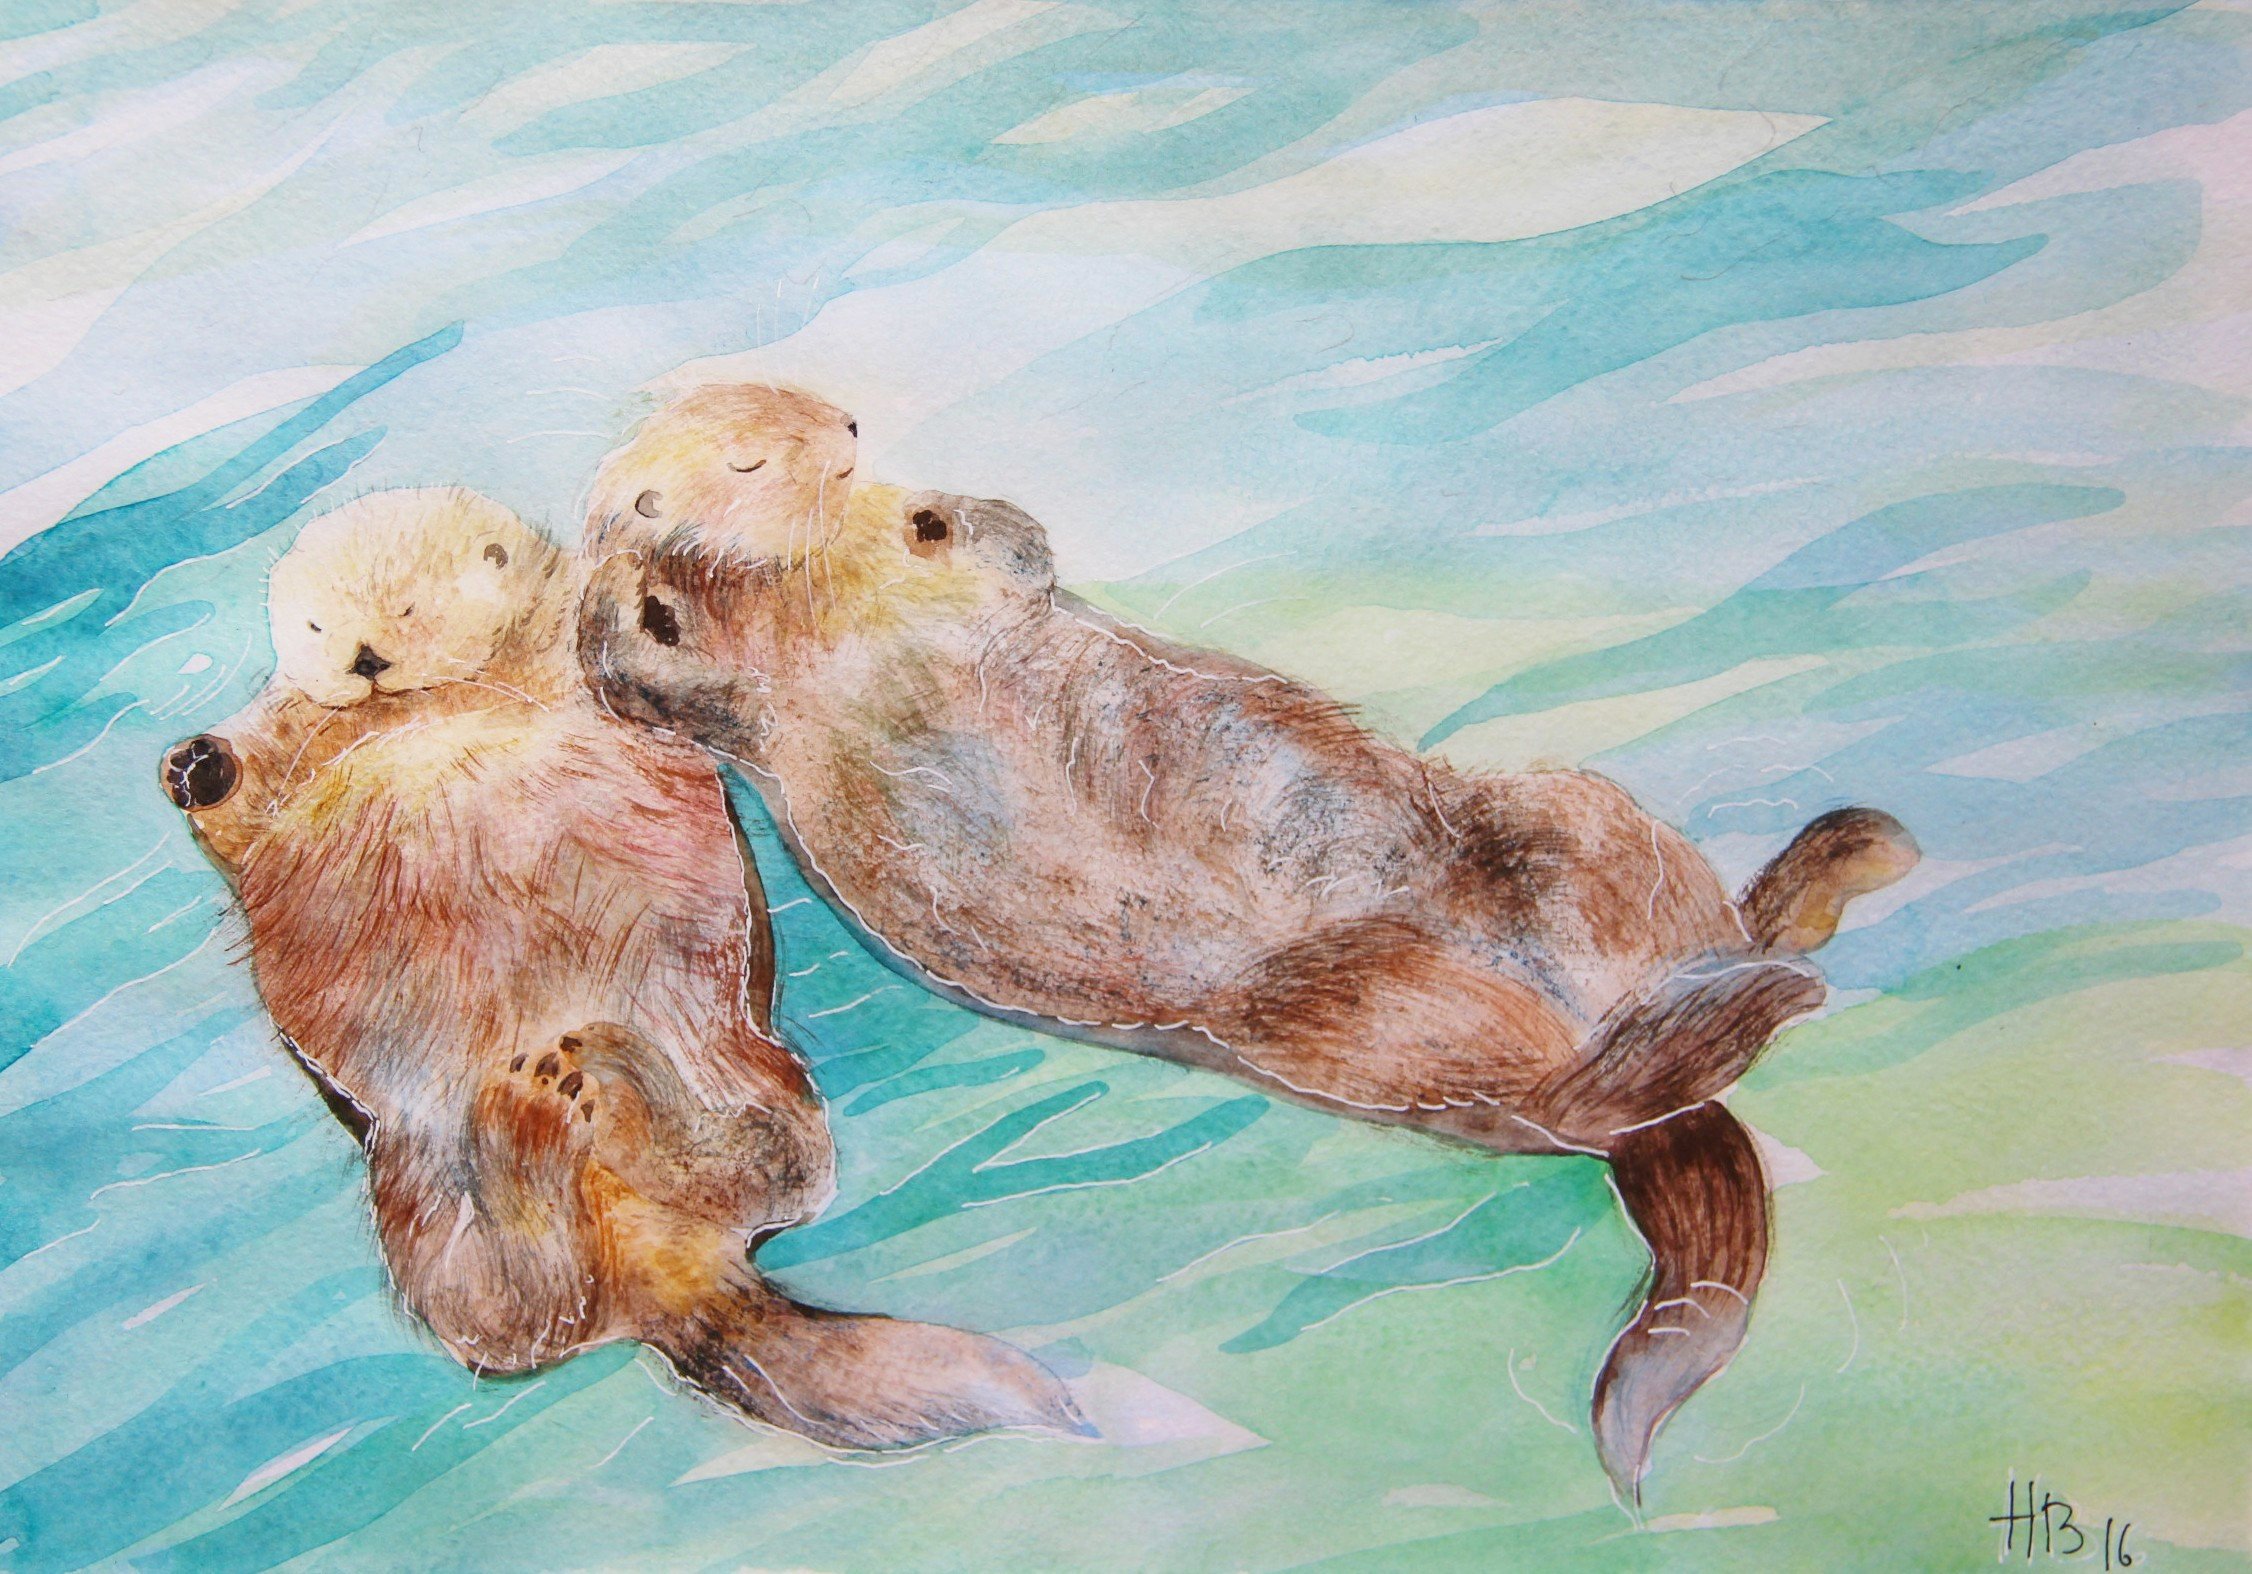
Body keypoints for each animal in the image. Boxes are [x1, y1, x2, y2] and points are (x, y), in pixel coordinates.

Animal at [161, 486, 1080, 1450]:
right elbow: (242, 801)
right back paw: (531, 1119)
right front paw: (197, 765)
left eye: (408, 609)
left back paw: (596, 1085)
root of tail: (661, 1271)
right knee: (513, 1309)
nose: (365, 659)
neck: (430, 702)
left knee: (768, 1164)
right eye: (314, 625)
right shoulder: (288, 740)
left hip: (741, 1063)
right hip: (417, 1193)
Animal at [575, 386, 1919, 1496]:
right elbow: (678, 673)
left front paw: (937, 529)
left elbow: (996, 554)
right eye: (743, 454)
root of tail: (1620, 1002)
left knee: (1688, 936)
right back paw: (1771, 979)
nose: (843, 435)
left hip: (1573, 822)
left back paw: (1835, 868)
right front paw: (661, 607)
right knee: (1576, 1091)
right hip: (1348, 1016)